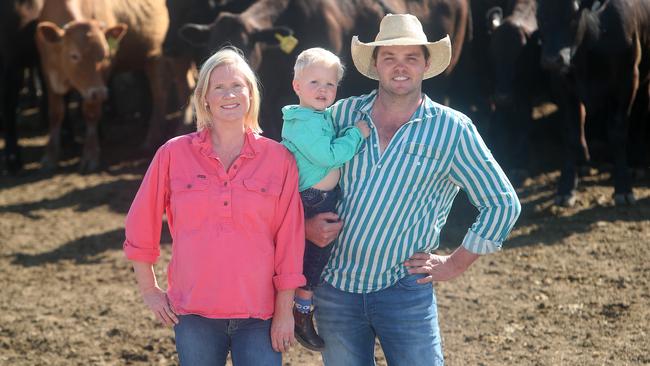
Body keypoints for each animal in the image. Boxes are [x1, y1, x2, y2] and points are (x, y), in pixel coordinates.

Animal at [35, 0, 168, 172]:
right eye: (74, 55)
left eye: (105, 55)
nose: (99, 93)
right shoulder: (49, 74)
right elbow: (56, 113)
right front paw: (50, 156)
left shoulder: (103, 75)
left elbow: (91, 113)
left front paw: (90, 155)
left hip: (156, 57)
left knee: (160, 94)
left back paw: (151, 138)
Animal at [536, 0, 648, 204]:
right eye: (539, 16)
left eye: (573, 15)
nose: (551, 59)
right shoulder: (561, 83)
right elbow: (571, 133)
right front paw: (566, 187)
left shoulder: (627, 79)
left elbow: (618, 133)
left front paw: (623, 187)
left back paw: (637, 164)